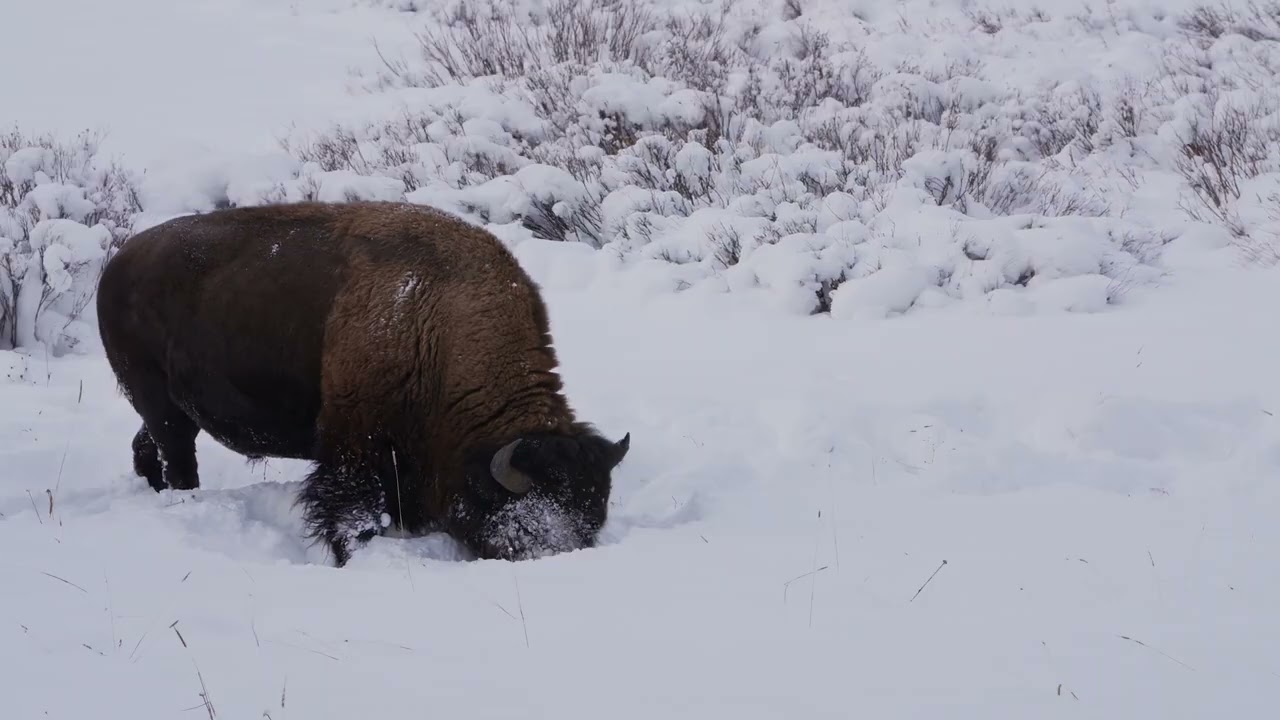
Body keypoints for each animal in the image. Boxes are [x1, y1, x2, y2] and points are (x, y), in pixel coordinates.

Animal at [96, 200, 630, 566]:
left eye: (593, 516)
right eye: (525, 525)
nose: (558, 556)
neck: (440, 323)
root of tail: (118, 263)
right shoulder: (355, 444)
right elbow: (352, 511)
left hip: (169, 409)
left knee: (148, 445)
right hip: (159, 402)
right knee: (177, 458)